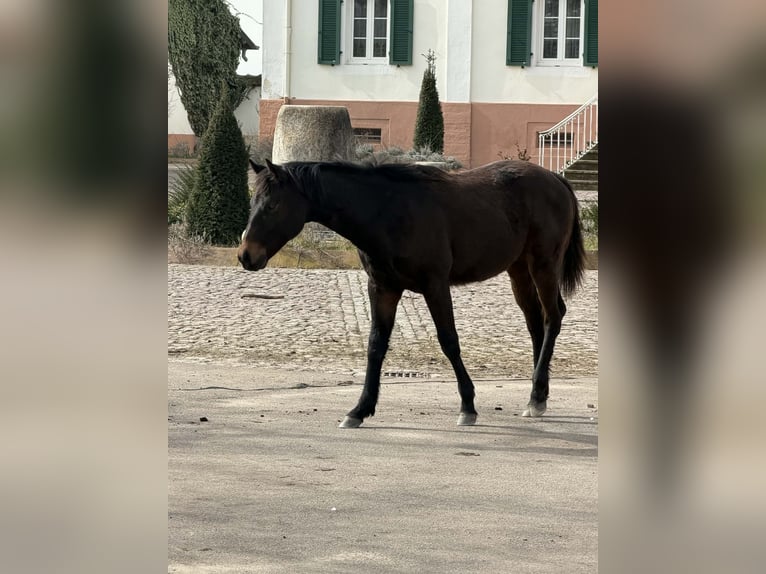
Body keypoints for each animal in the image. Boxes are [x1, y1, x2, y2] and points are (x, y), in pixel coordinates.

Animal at [238, 158, 585, 428]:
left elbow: (449, 341)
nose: (246, 255)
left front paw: (468, 406)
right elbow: (376, 346)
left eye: (273, 205)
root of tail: (555, 179)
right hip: (519, 270)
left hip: (543, 264)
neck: (387, 211)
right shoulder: (383, 288)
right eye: (252, 203)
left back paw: (536, 395)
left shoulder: (435, 285)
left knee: (553, 318)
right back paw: (538, 395)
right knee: (536, 323)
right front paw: (360, 409)